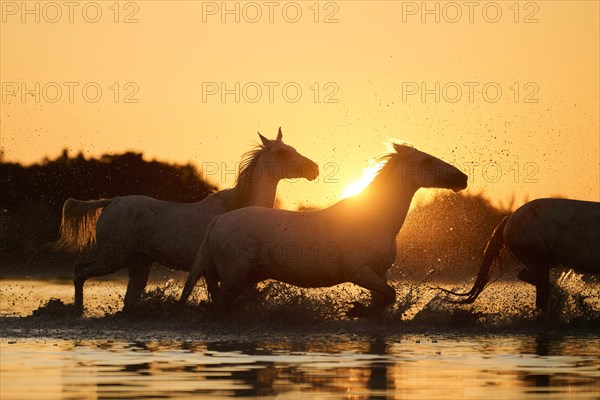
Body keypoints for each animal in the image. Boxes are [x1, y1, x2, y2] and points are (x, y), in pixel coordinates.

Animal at [55, 129, 318, 316]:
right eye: (282, 153)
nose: (313, 169)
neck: (238, 206)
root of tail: (113, 202)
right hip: (113, 258)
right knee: (79, 272)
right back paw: (77, 310)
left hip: (138, 263)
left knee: (126, 297)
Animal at [178, 142, 468, 318]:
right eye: (426, 161)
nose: (462, 178)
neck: (374, 219)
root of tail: (219, 221)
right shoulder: (358, 271)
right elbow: (390, 294)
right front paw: (355, 309)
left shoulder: (380, 272)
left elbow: (385, 297)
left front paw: (362, 310)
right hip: (233, 277)